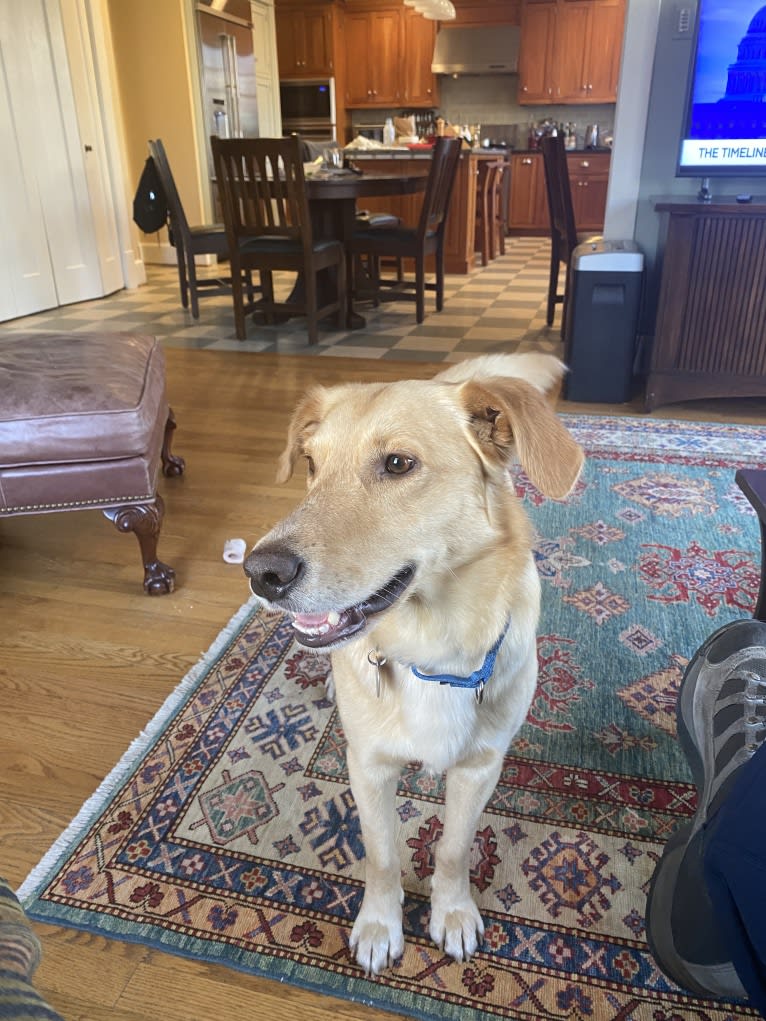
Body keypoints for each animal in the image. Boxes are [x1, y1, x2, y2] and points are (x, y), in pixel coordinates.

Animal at [243, 355, 584, 976]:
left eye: (398, 464)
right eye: (311, 464)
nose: (261, 573)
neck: (432, 649)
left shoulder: (480, 768)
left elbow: (452, 849)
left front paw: (452, 912)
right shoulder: (368, 766)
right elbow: (382, 855)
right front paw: (380, 924)